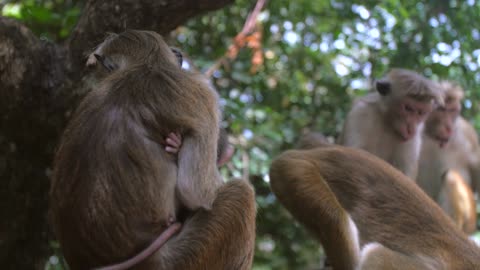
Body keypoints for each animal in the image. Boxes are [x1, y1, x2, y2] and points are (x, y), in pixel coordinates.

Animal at [414, 81, 478, 233]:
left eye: (453, 110)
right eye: (442, 110)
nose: (448, 127)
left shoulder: (468, 134)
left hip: (469, 222)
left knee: (450, 177)